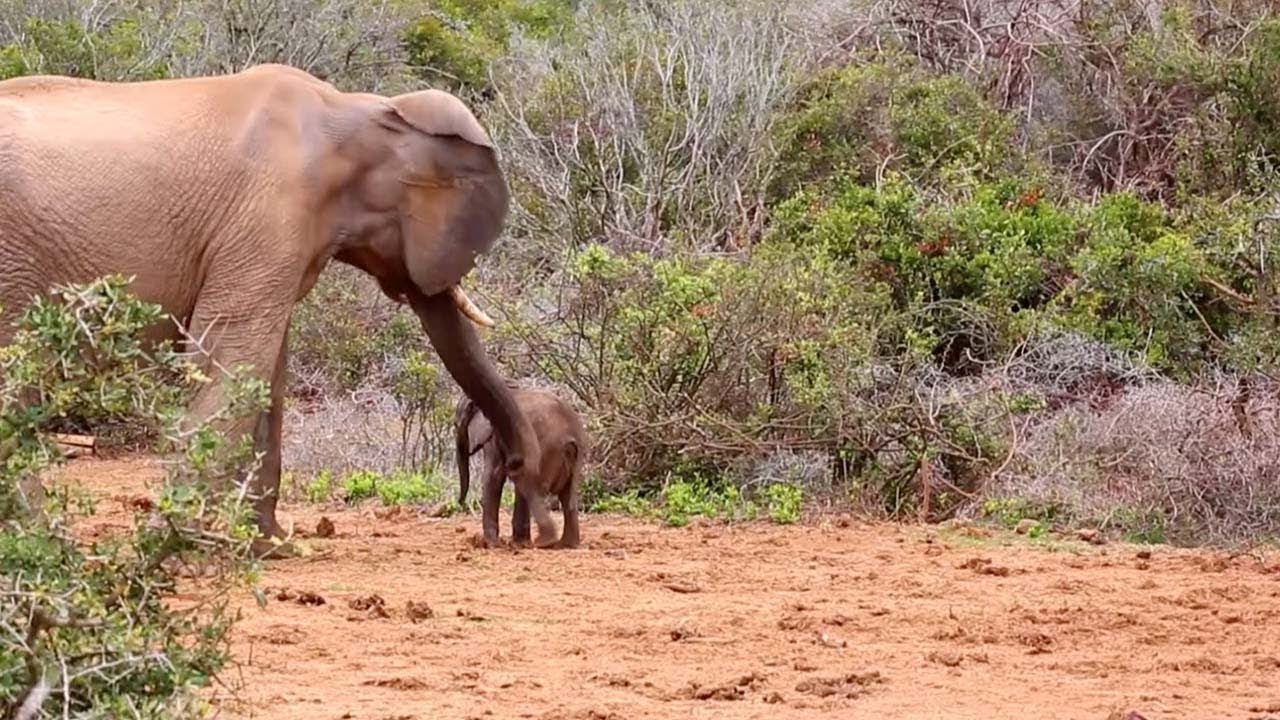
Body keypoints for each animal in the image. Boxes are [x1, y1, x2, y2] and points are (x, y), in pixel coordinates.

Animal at [0, 63, 545, 556]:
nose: (517, 466)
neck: (359, 110)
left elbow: (268, 374)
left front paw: (274, 547)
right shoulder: (269, 215)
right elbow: (233, 358)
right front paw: (176, 543)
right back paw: (47, 543)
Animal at [455, 385, 587, 549]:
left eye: (456, 424)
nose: (460, 503)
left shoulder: (494, 435)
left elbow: (494, 475)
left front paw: (491, 544)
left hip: (546, 451)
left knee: (533, 487)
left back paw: (543, 542)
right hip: (576, 455)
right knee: (567, 495)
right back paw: (566, 544)